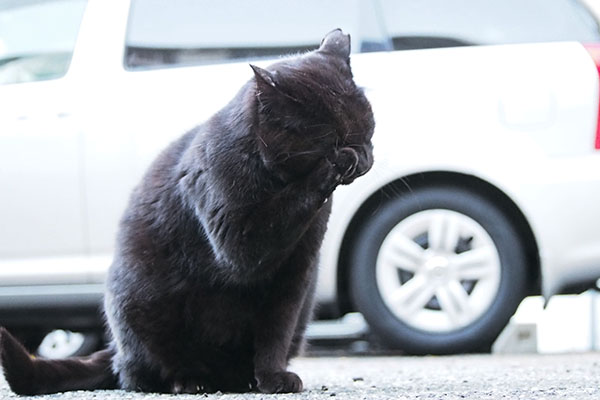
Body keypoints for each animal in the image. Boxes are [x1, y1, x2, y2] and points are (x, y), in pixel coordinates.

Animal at [0, 29, 372, 396]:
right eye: (334, 137)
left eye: (369, 127)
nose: (366, 157)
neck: (271, 176)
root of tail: (114, 350)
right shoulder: (238, 240)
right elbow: (269, 227)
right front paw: (335, 164)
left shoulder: (296, 275)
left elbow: (275, 333)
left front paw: (272, 377)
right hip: (140, 306)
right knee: (137, 374)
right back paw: (190, 380)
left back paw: (240, 379)